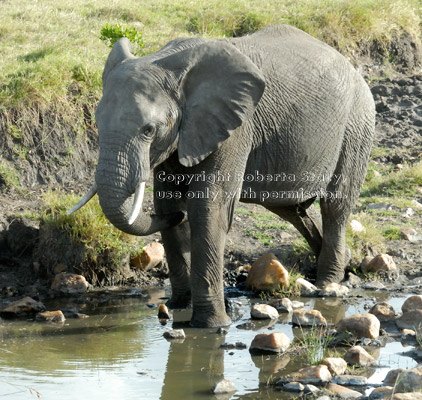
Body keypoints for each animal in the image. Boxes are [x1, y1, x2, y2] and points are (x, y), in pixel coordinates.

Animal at [70, 25, 376, 326]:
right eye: (96, 122)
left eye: (148, 130)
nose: (179, 217)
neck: (169, 66)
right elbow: (166, 202)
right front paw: (179, 306)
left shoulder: (234, 128)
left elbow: (208, 208)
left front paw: (212, 324)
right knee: (289, 208)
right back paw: (339, 263)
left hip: (356, 124)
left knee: (335, 205)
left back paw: (328, 283)